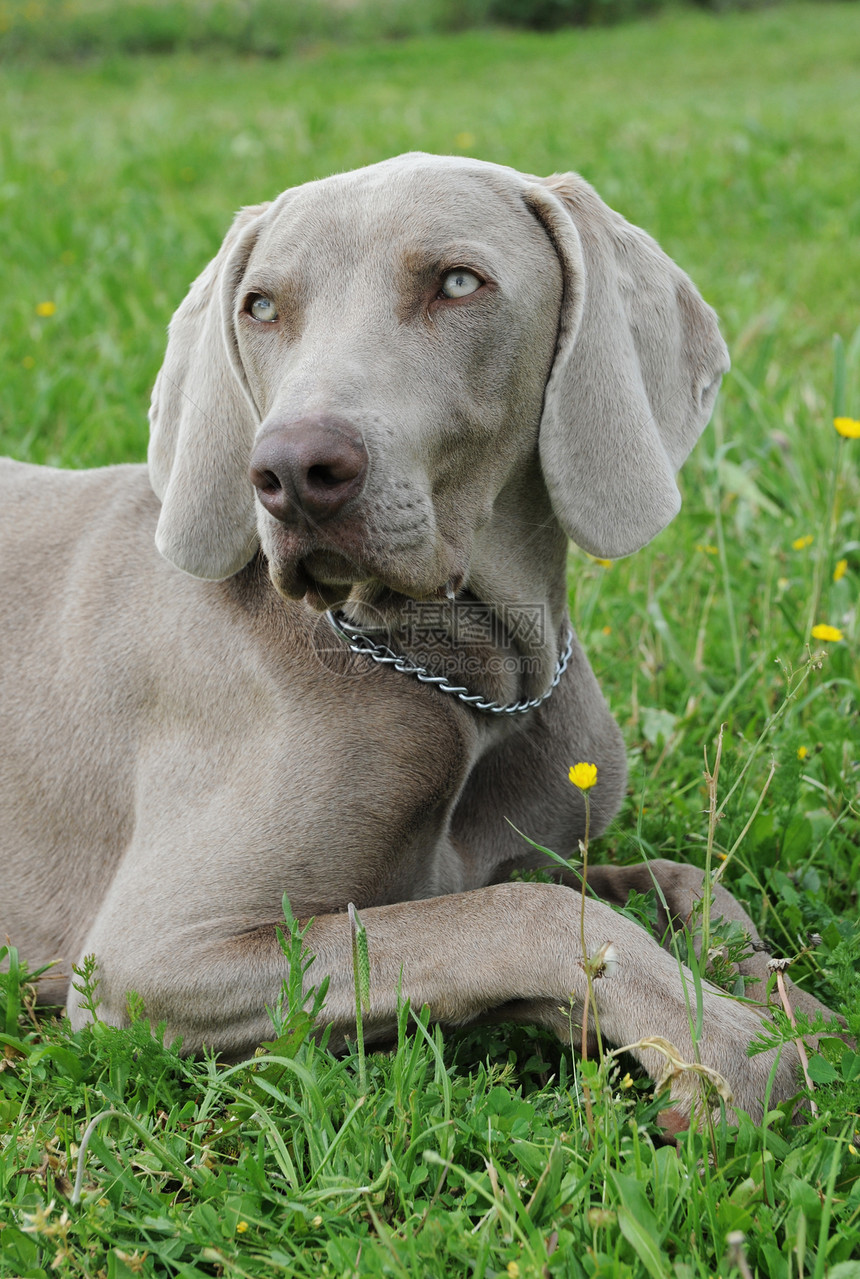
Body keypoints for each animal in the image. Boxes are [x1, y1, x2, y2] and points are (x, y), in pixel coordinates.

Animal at [0, 154, 834, 1125]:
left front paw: (796, 1004)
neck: (467, 677)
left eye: (460, 283)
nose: (291, 471)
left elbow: (682, 878)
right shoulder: (147, 961)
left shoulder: (548, 847)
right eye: (260, 305)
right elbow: (523, 911)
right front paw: (732, 1043)